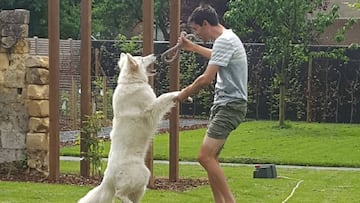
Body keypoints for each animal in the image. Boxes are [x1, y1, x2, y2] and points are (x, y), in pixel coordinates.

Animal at [77, 52, 190, 203]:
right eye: (142, 59)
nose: (155, 54)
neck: (131, 82)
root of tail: (107, 180)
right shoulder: (152, 109)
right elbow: (165, 96)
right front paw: (178, 94)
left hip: (141, 184)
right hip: (142, 174)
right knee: (120, 194)